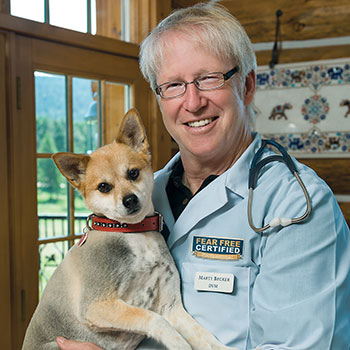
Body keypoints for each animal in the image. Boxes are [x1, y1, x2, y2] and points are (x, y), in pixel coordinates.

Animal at [21, 108, 238, 350]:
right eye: (103, 187)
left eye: (133, 173)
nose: (130, 199)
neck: (133, 232)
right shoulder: (97, 305)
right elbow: (157, 321)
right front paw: (179, 343)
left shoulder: (170, 307)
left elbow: (205, 337)